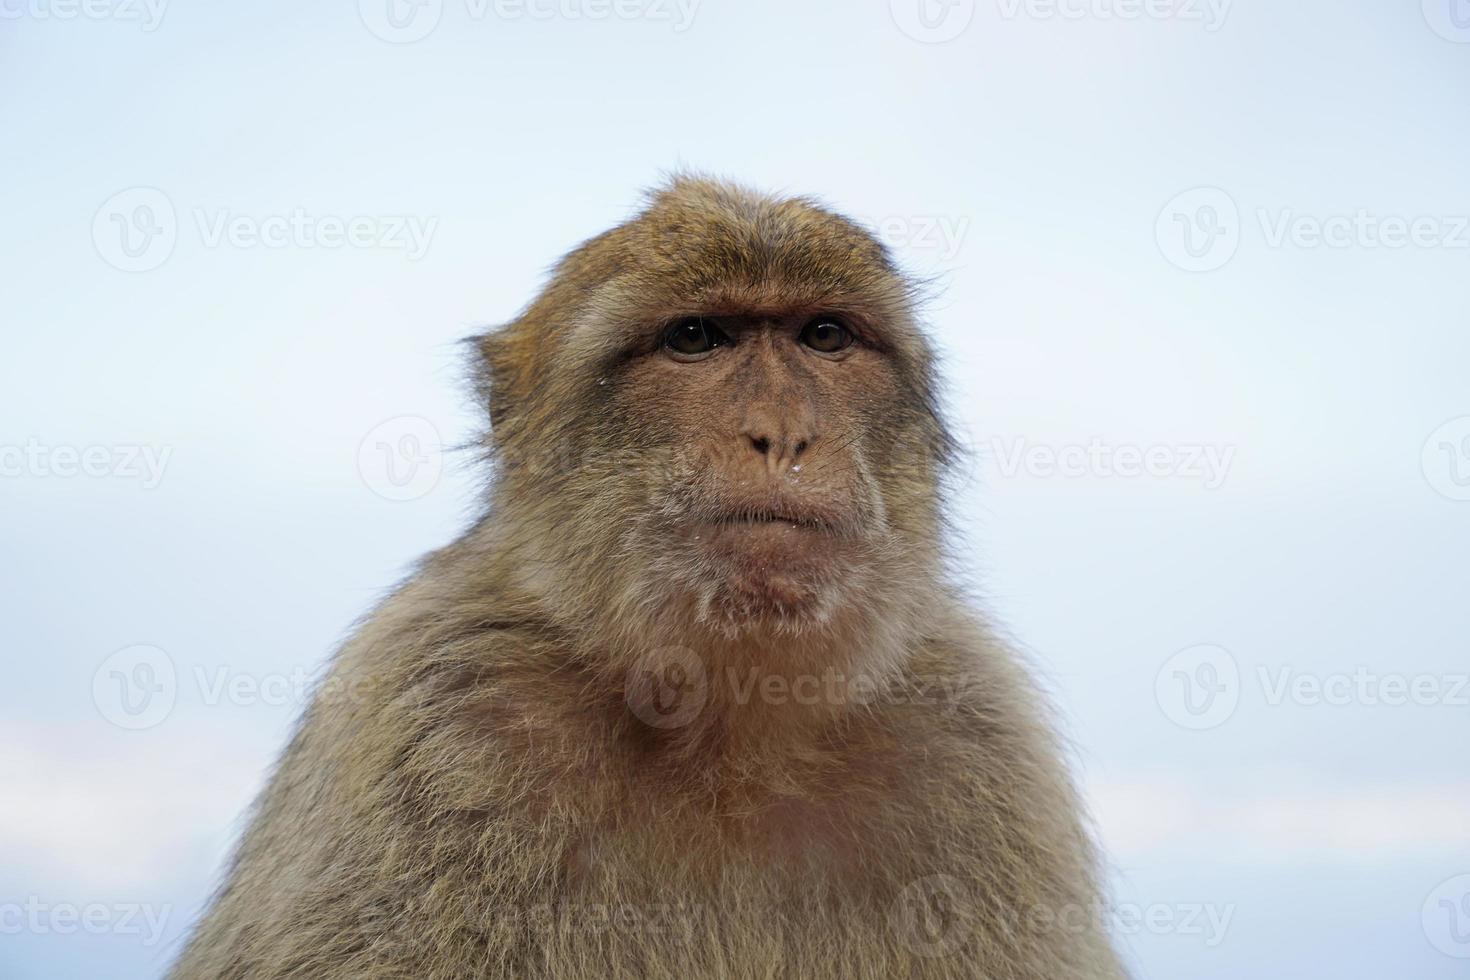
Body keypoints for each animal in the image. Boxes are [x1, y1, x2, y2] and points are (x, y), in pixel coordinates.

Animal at [166, 176, 1123, 980]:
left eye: (825, 336)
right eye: (696, 338)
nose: (783, 432)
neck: (726, 728)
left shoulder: (977, 734)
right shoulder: (429, 712)